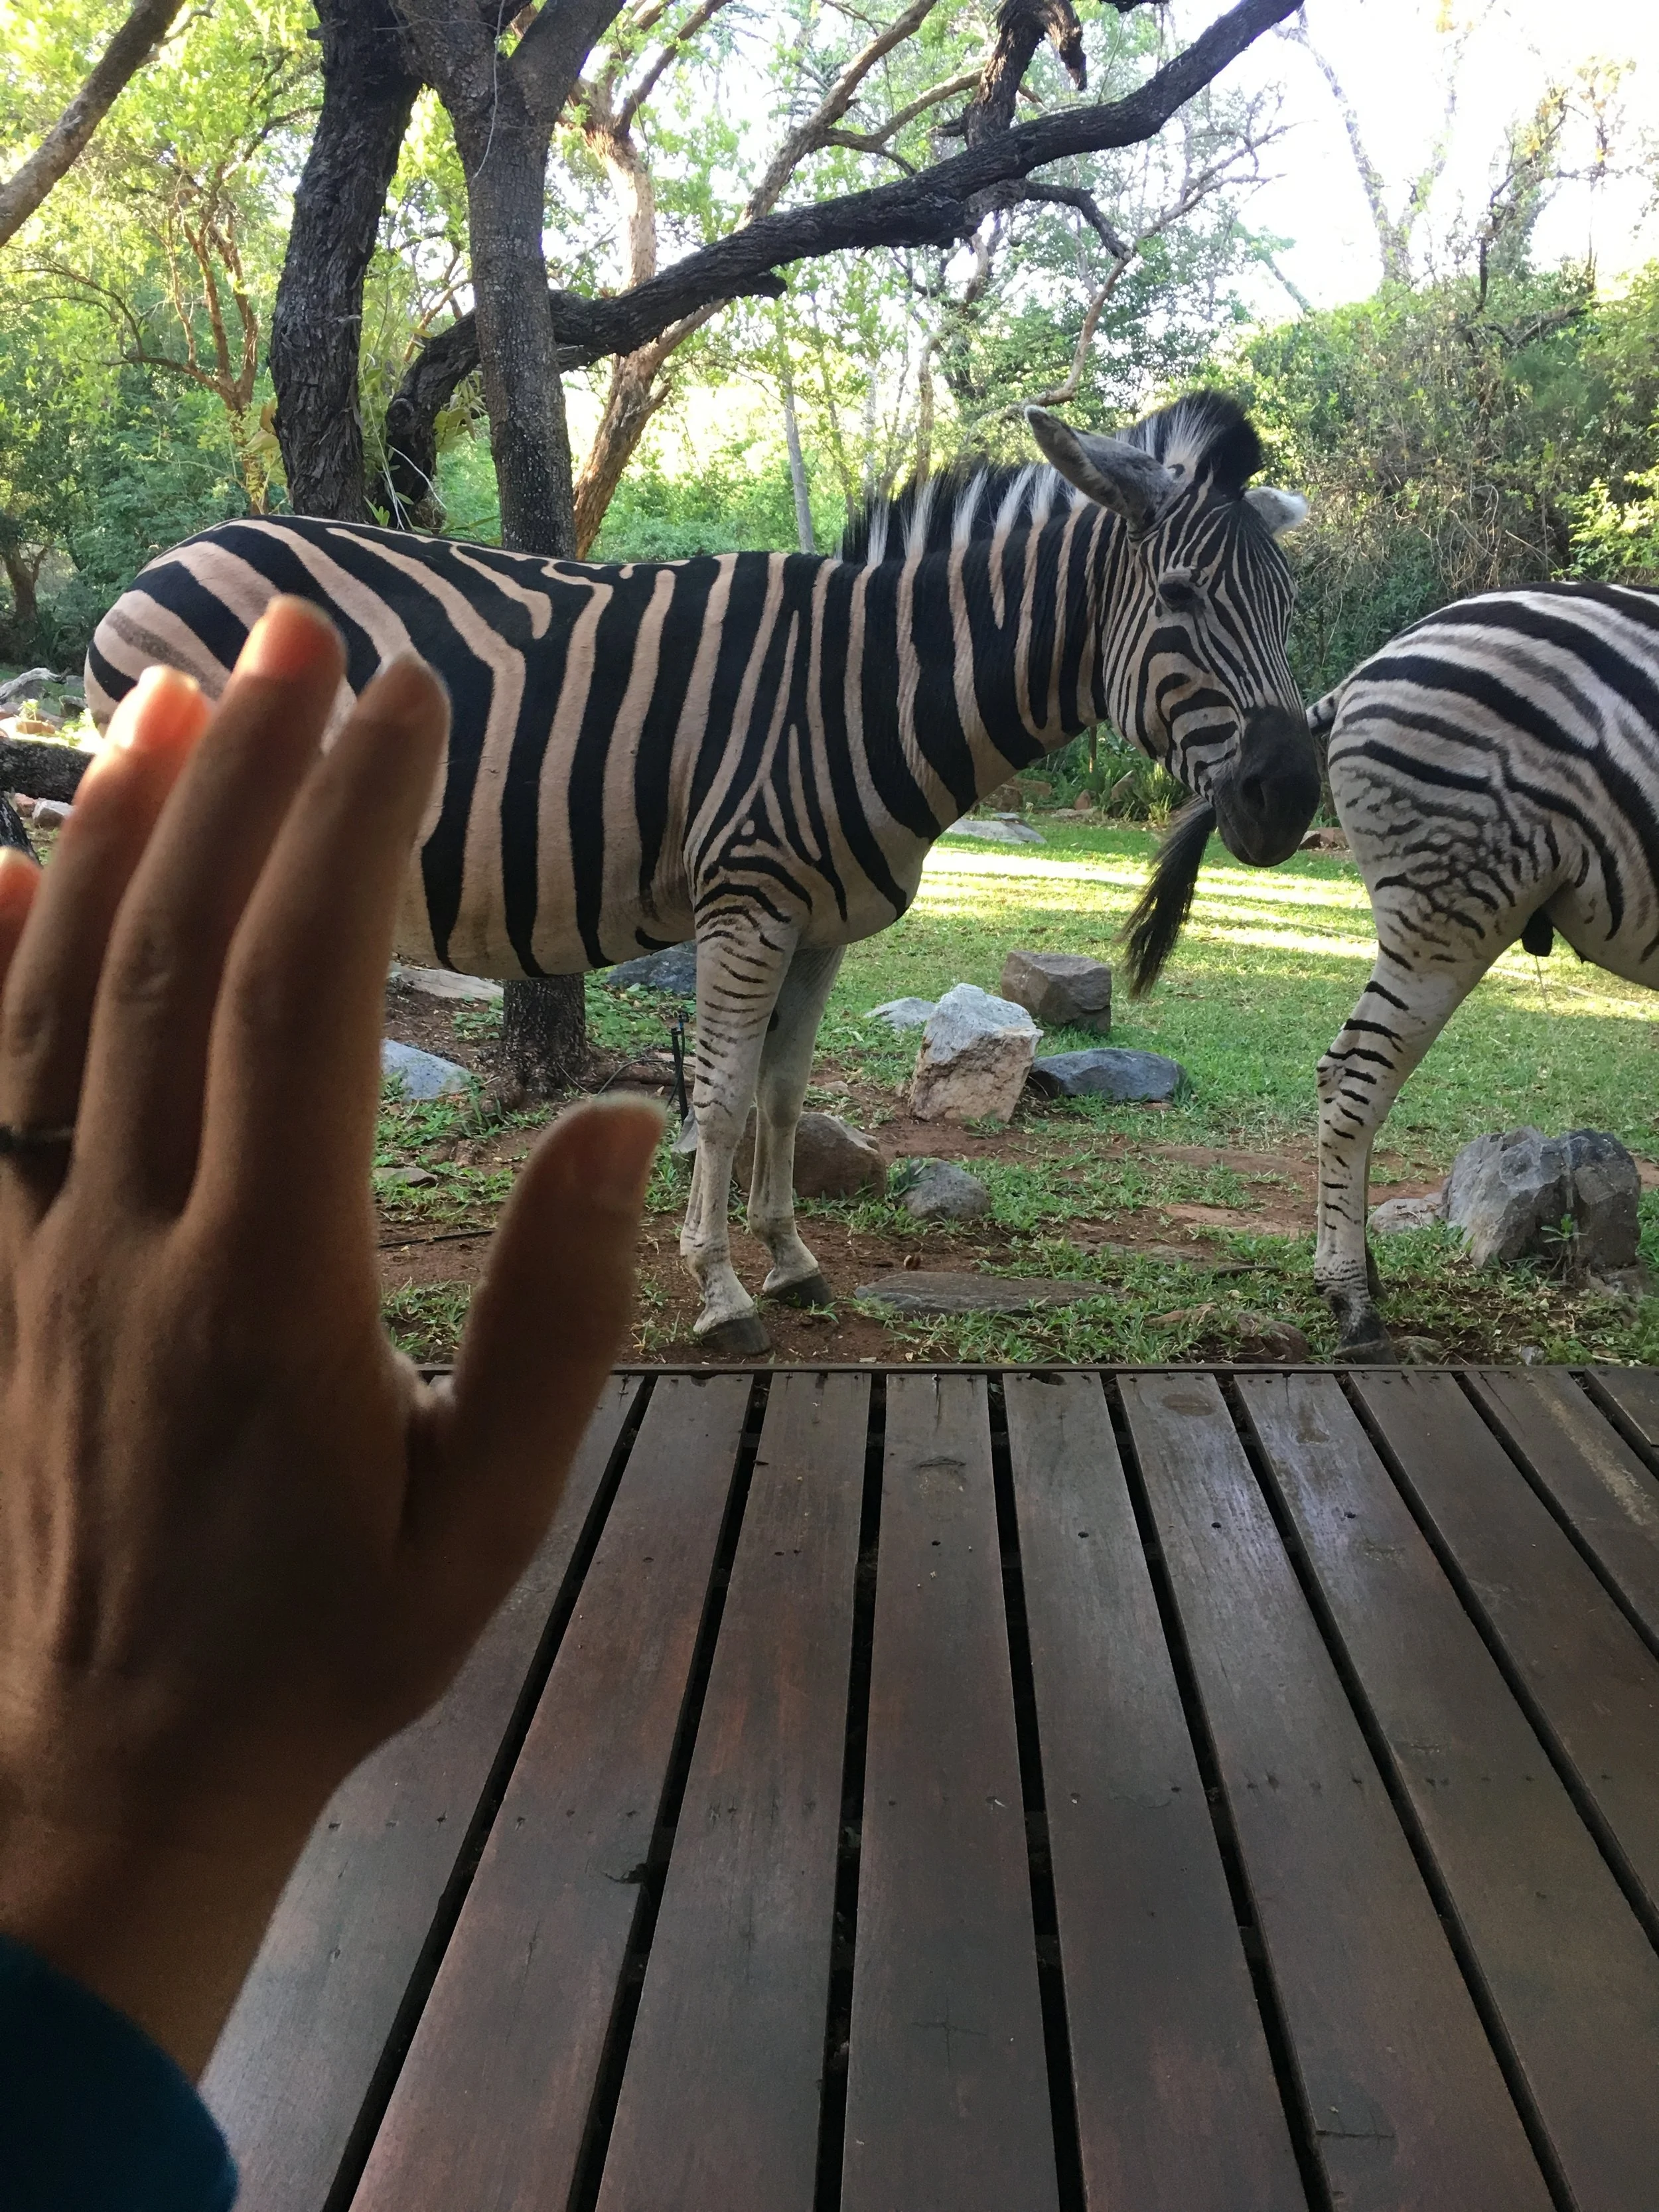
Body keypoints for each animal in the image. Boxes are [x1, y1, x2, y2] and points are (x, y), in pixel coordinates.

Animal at [86, 390, 1317, 1355]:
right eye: (1182, 600)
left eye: (1291, 608)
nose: (1293, 800)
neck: (869, 685)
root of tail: (173, 556)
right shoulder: (748, 902)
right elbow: (721, 1102)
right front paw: (723, 1295)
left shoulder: (821, 925)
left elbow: (783, 1094)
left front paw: (793, 1260)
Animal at [1124, 579, 1659, 1362]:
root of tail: (1371, 666)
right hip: (1452, 904)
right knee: (1355, 1082)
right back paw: (1354, 1305)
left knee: (1339, 1071)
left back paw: (1356, 1271)